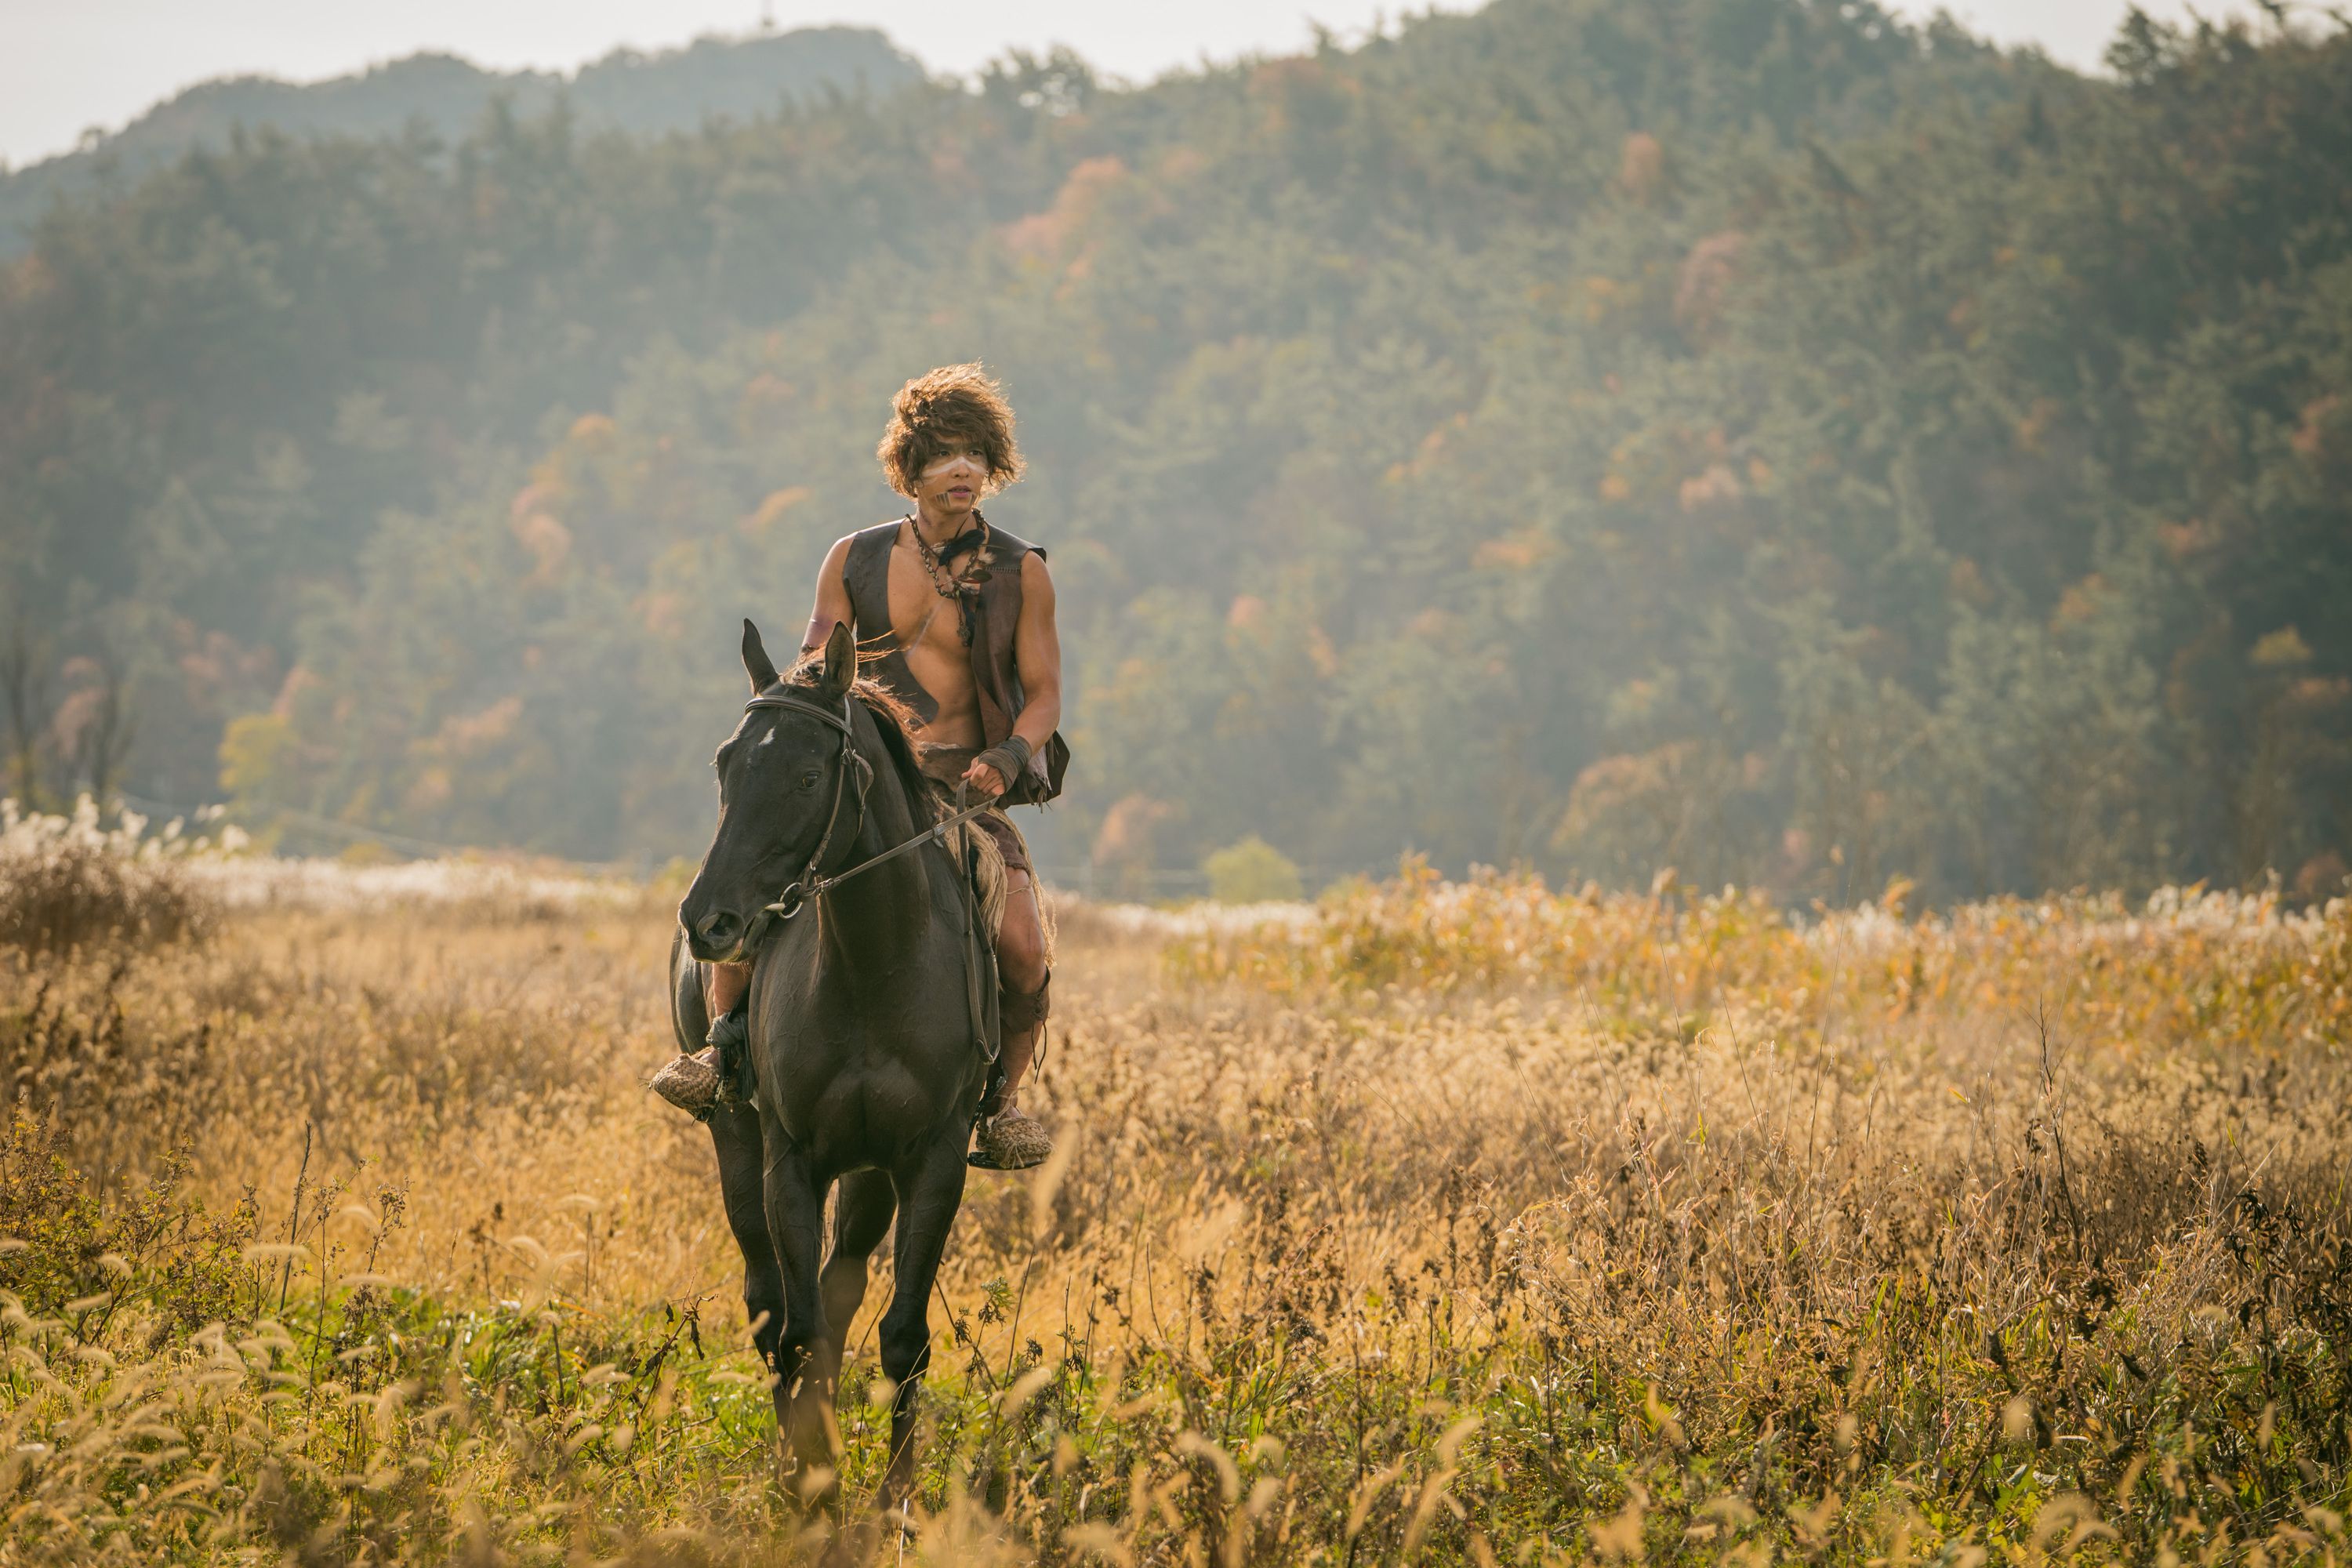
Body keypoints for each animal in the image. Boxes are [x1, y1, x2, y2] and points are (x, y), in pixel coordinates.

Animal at [673, 620, 993, 1514]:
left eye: (808, 776)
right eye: (725, 764)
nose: (706, 921)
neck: (872, 959)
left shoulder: (931, 1161)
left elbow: (901, 1335)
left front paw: (894, 1503)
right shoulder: (791, 1158)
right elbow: (797, 1329)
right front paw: (809, 1488)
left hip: (872, 1176)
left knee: (841, 1291)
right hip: (737, 1139)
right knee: (770, 1302)